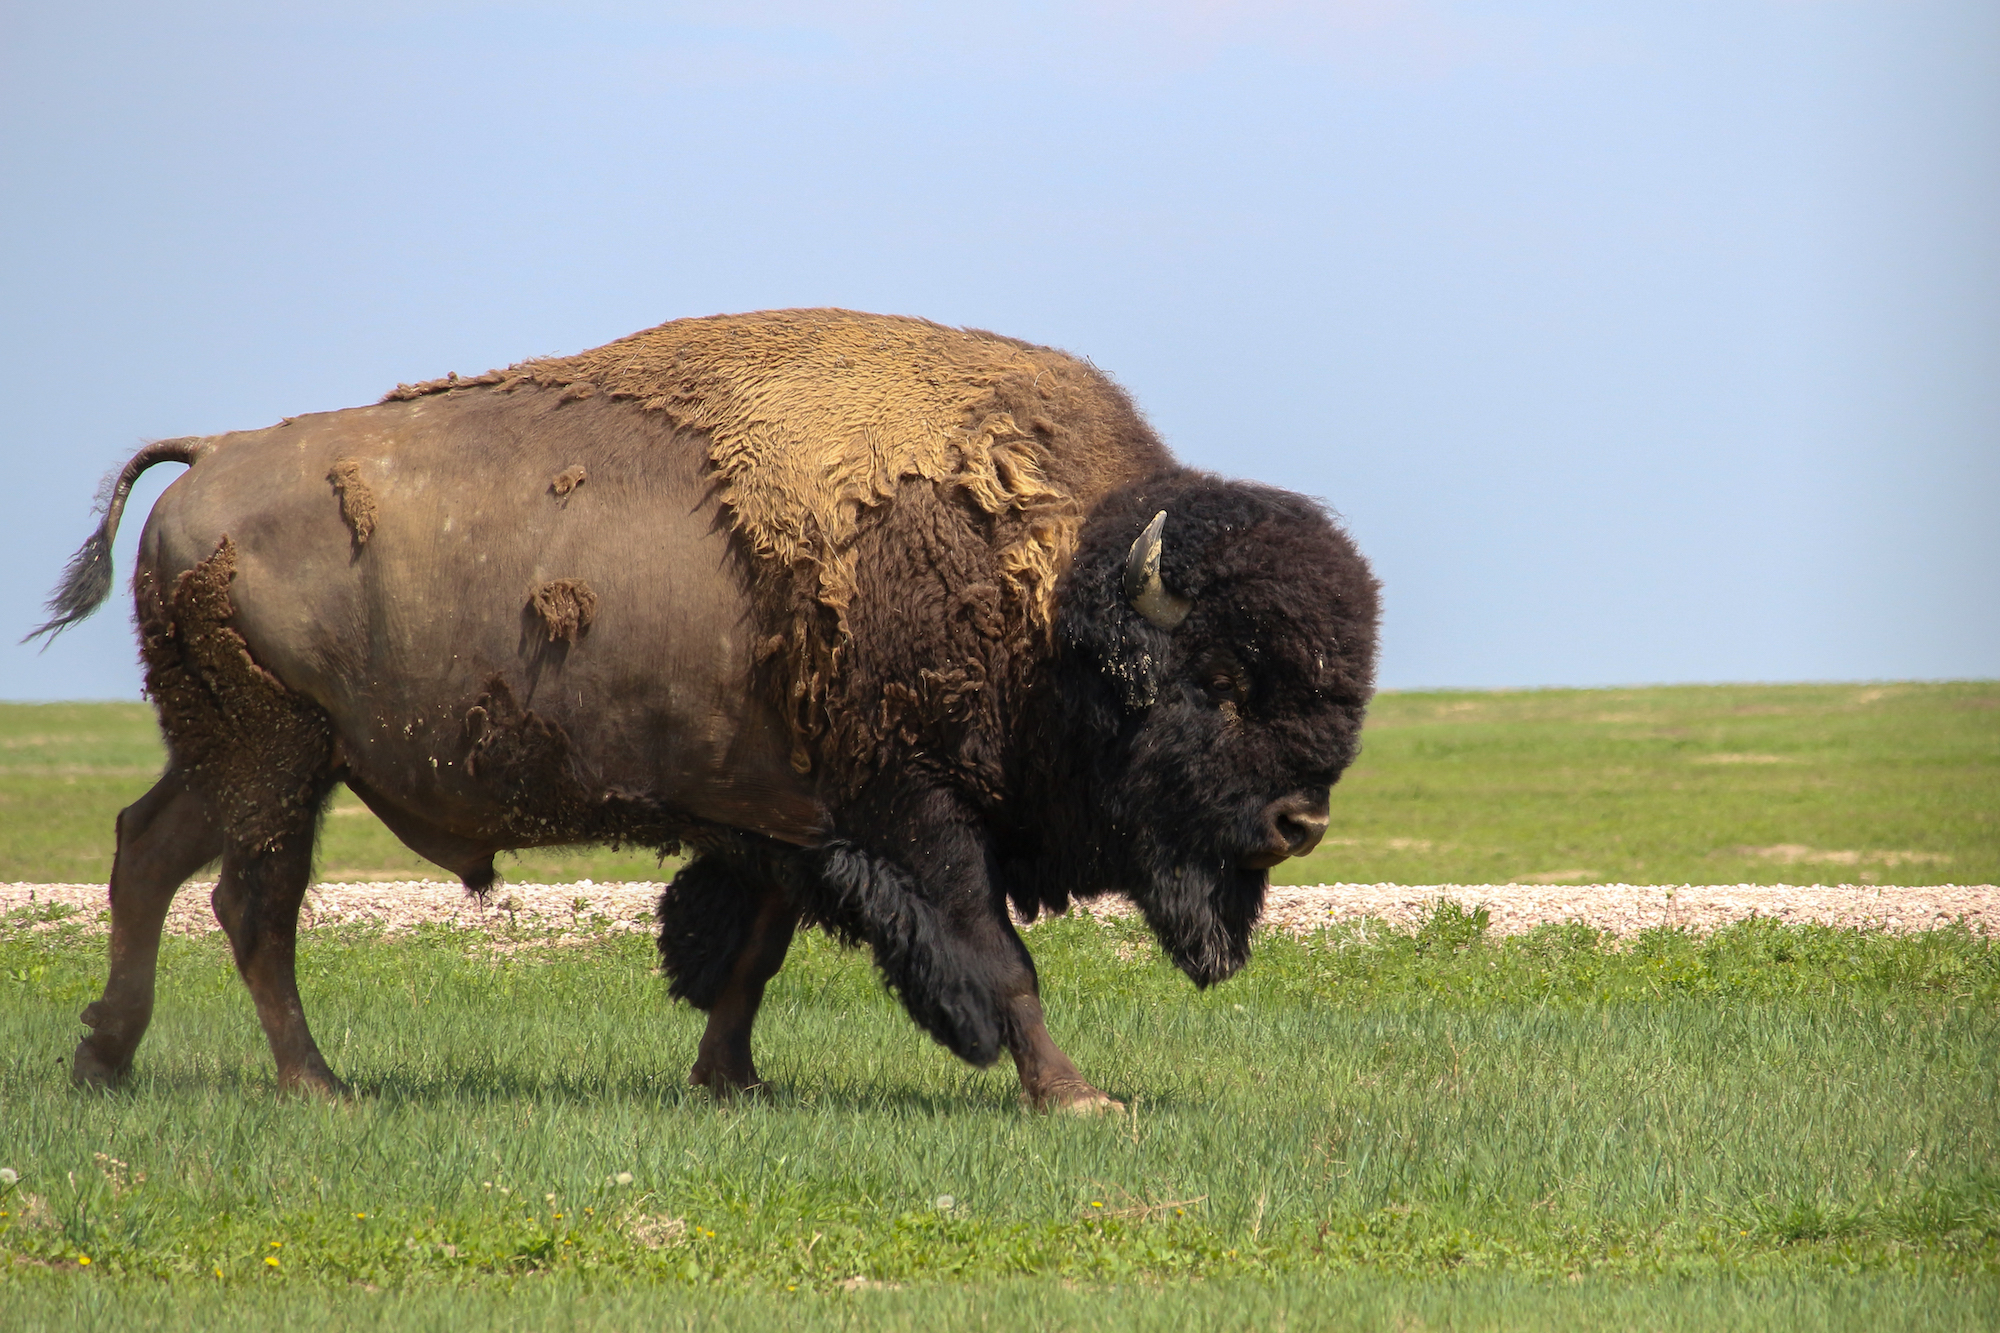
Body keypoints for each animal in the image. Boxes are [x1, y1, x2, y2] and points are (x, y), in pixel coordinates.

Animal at [32, 309, 1379, 1111]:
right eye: (1218, 683)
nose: (1300, 820)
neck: (1045, 596)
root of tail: (210, 458)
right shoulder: (915, 816)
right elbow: (1000, 962)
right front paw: (1073, 1094)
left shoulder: (783, 820)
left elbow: (749, 955)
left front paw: (729, 1080)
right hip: (276, 756)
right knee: (251, 905)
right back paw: (316, 1083)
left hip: (230, 753)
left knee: (146, 855)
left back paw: (104, 1058)